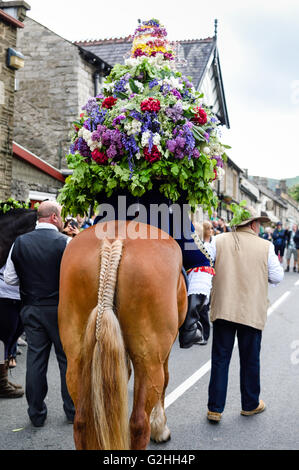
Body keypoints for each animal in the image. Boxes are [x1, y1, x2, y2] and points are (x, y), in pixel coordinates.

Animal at [58, 218, 188, 450]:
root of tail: (113, 241)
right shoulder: (164, 350)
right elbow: (166, 380)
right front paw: (160, 428)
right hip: (149, 360)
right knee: (138, 423)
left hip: (76, 359)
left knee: (81, 421)